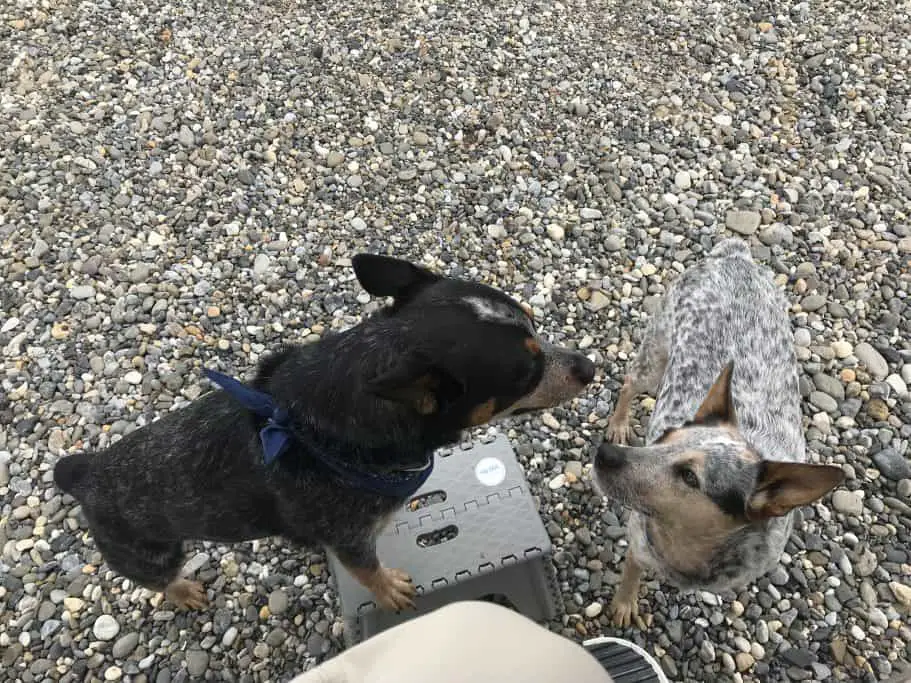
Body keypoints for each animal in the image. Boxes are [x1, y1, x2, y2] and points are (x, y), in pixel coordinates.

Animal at [53, 254, 596, 612]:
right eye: (525, 373)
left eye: (536, 324)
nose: (589, 367)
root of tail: (85, 472)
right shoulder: (349, 537)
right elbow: (368, 570)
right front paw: (389, 590)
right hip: (149, 553)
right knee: (159, 579)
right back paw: (183, 591)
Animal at [596, 238, 844, 628]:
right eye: (664, 438)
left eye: (689, 477)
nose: (603, 455)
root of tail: (736, 255)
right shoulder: (638, 542)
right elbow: (631, 572)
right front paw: (624, 603)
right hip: (655, 354)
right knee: (629, 383)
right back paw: (619, 423)